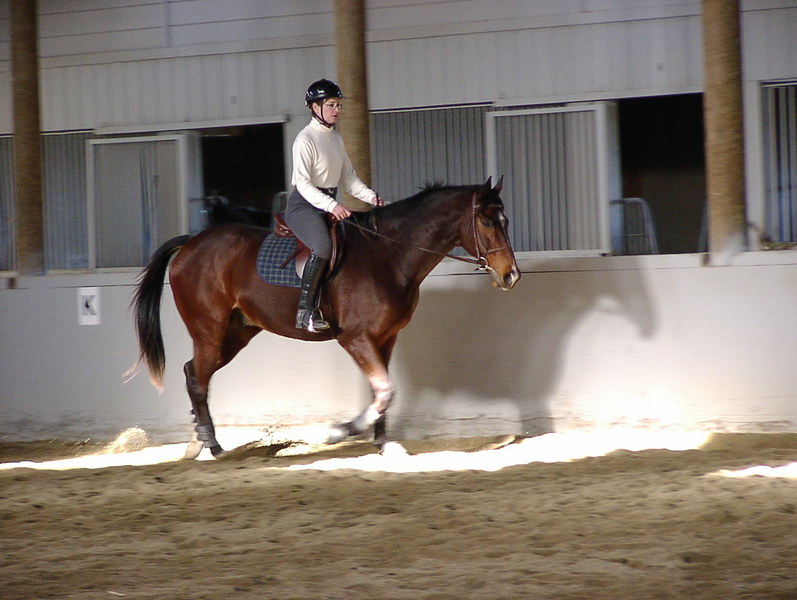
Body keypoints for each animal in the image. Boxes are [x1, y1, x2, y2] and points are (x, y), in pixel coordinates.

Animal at [130, 177, 521, 458]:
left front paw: (383, 443)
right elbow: (384, 391)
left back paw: (198, 439)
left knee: (194, 372)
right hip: (209, 330)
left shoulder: (385, 338)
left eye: (505, 220)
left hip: (236, 333)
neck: (387, 255)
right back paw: (211, 444)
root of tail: (191, 243)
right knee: (198, 378)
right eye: (487, 221)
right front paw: (336, 432)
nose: (511, 276)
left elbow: (383, 392)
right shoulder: (356, 338)